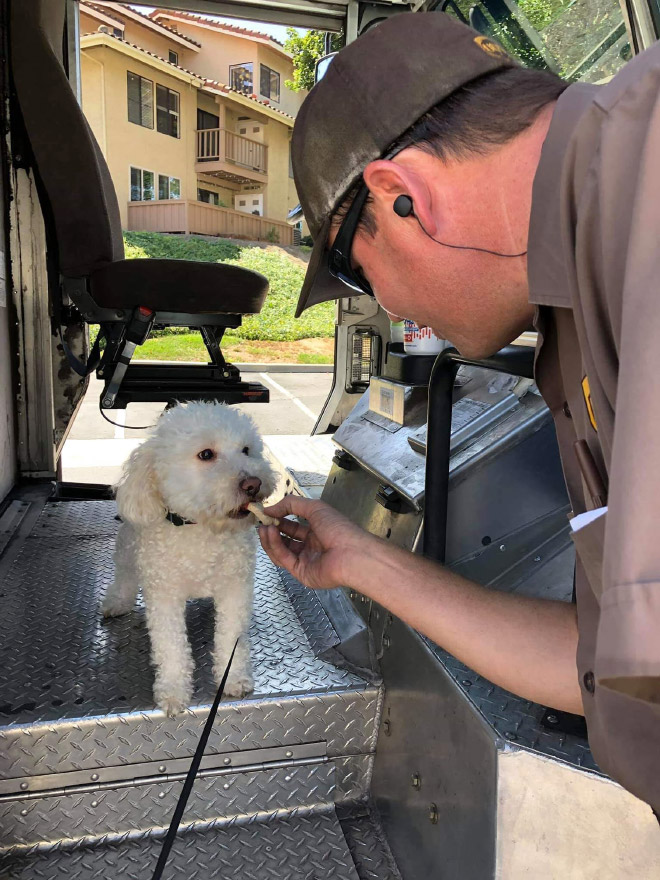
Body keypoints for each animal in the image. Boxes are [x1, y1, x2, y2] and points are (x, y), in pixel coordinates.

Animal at [102, 398, 278, 716]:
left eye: (247, 450)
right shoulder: (164, 595)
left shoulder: (235, 587)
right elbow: (171, 646)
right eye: (206, 454)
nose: (253, 484)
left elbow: (232, 636)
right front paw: (173, 690)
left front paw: (234, 677)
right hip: (127, 545)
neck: (201, 530)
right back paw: (116, 601)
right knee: (124, 576)